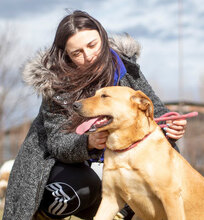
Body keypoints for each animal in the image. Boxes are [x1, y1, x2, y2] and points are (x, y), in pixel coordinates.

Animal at [74, 86, 204, 220]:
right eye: (94, 94)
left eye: (104, 96)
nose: (75, 105)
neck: (126, 149)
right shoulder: (110, 198)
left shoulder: (170, 195)